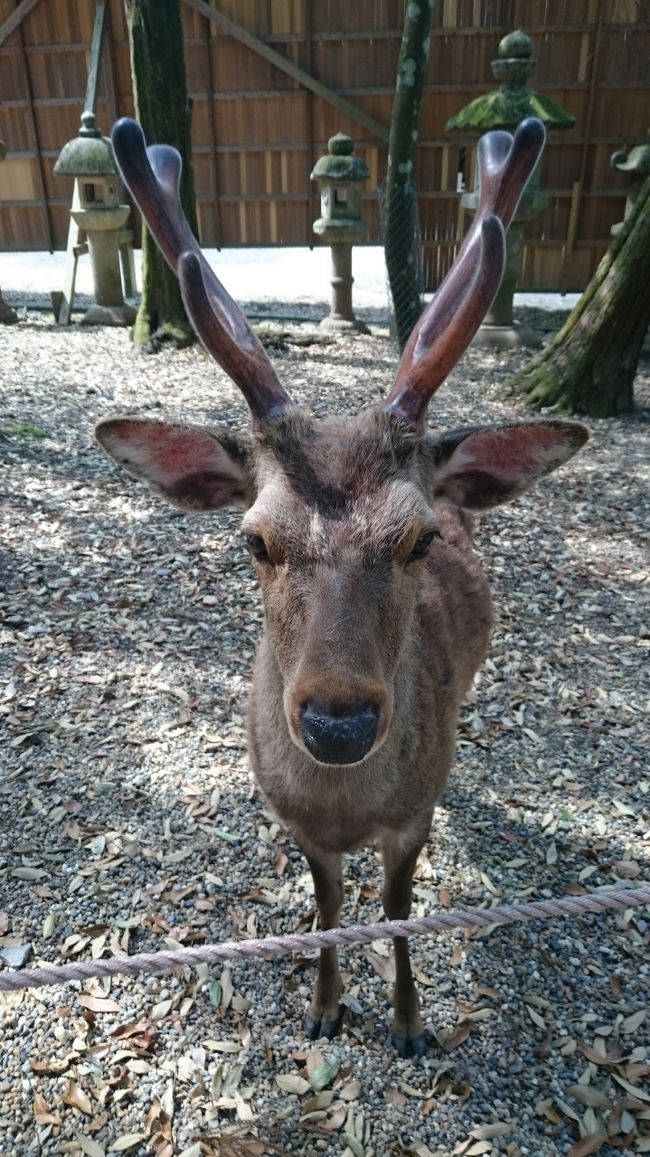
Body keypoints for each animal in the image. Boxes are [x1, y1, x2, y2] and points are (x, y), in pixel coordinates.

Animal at [95, 117, 587, 1059]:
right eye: (254, 537)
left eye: (419, 538)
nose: (338, 720)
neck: (352, 811)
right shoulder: (298, 827)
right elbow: (326, 909)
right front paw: (325, 1007)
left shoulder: (410, 819)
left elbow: (396, 909)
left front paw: (408, 1020)